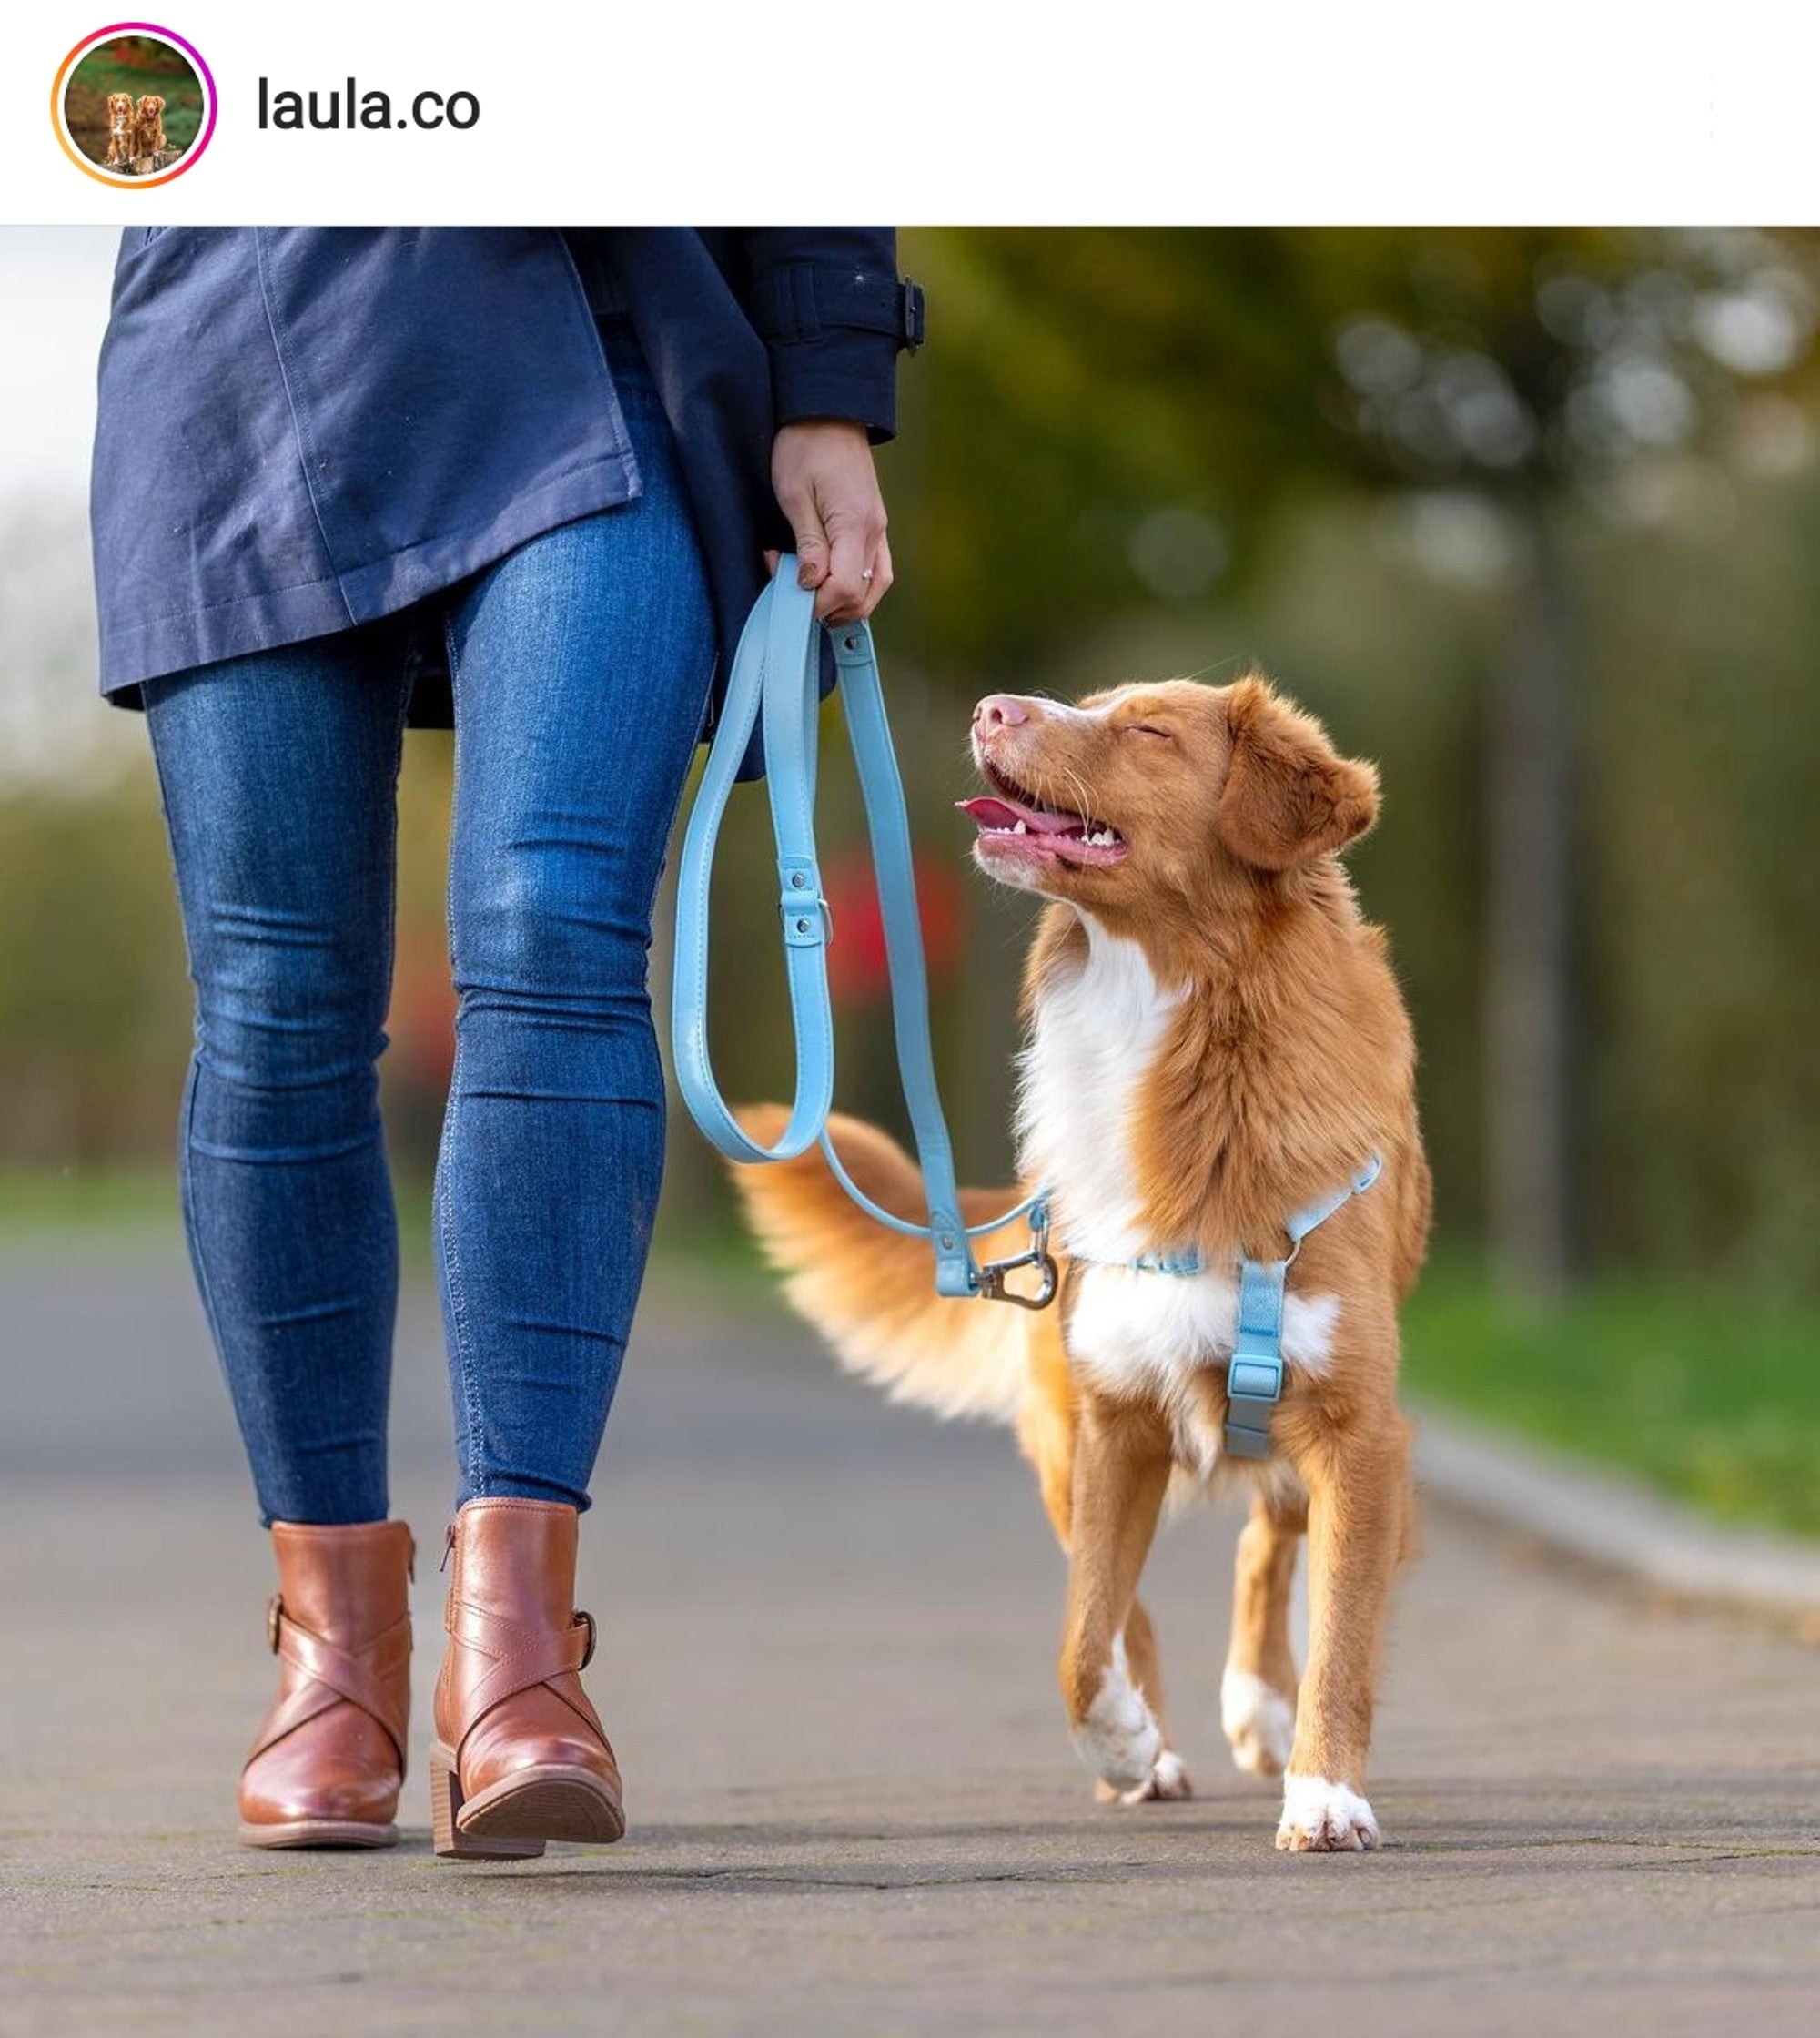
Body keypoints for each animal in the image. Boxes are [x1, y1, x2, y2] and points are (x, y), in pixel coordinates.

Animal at [729, 676, 1426, 1858]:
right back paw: (1154, 1747)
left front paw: (1324, 1792)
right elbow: (1082, 1634)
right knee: (1119, 1599)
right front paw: (1124, 1745)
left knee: (1272, 1541)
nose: (990, 706)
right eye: (1091, 703)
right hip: (1061, 1430)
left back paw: (1259, 1709)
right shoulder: (1113, 1415)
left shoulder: (1357, 1425)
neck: (1169, 1023)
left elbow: (1342, 1631)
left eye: (1146, 729)